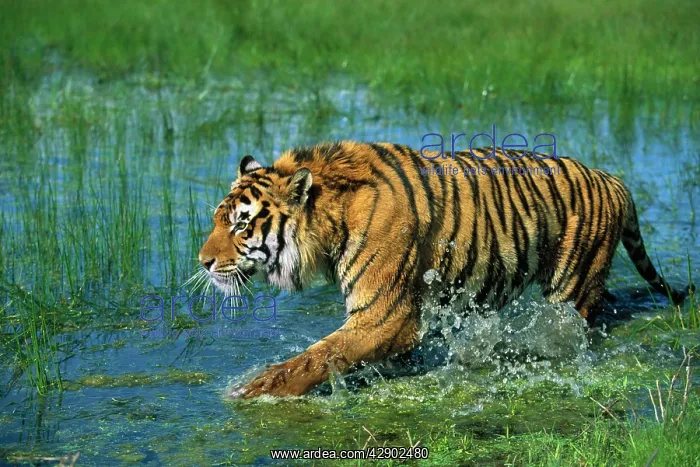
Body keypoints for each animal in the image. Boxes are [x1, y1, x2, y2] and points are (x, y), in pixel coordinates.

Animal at [197, 141, 692, 398]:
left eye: (241, 224)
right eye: (219, 219)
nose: (203, 262)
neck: (331, 219)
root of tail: (611, 177)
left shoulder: (384, 316)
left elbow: (315, 357)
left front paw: (253, 389)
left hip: (570, 287)